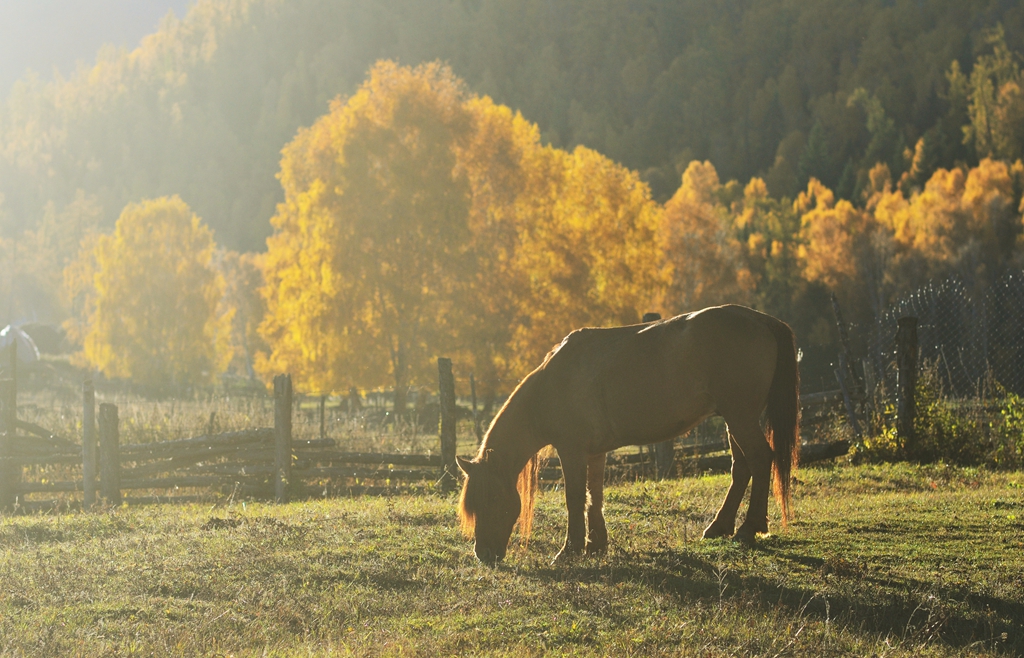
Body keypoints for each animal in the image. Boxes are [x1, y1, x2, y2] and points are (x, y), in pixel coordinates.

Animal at [456, 304, 800, 564]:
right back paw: (720, 527)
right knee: (741, 468)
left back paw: (748, 529)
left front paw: (570, 550)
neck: (554, 384)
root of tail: (760, 319)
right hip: (734, 419)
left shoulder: (572, 450)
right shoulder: (595, 452)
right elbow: (593, 495)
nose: (483, 554)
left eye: (491, 499)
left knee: (760, 459)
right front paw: (595, 545)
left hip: (740, 417)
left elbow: (574, 497)